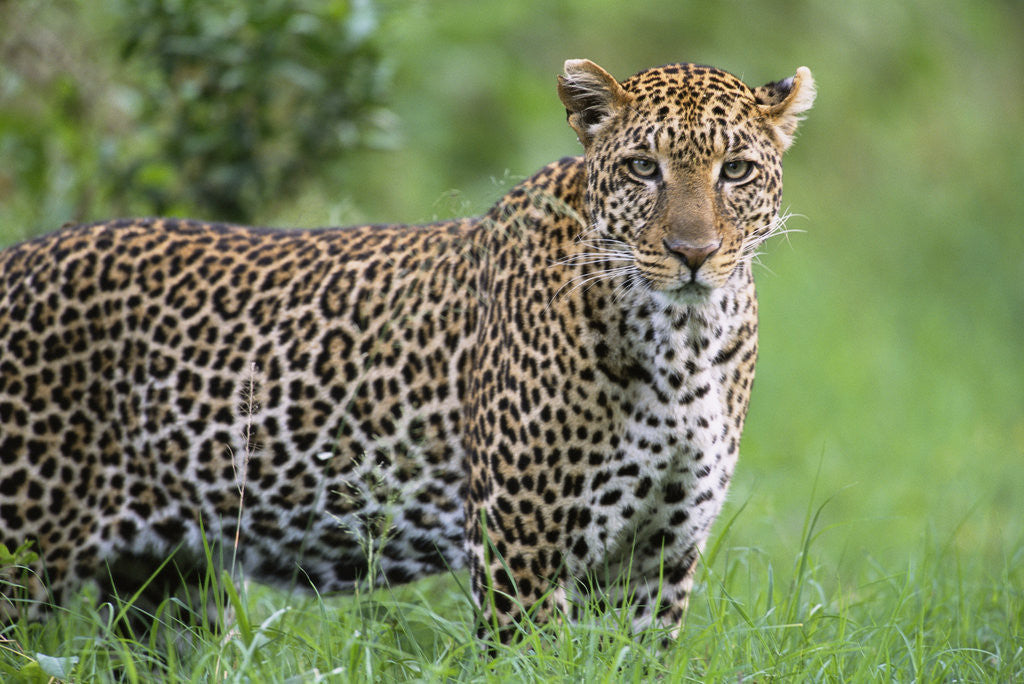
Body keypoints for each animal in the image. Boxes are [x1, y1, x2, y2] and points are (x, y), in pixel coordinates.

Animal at [0, 58, 814, 637]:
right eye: (644, 168)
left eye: (736, 170)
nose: (693, 253)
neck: (684, 345)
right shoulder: (521, 548)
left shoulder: (658, 557)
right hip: (26, 556)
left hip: (166, 587)